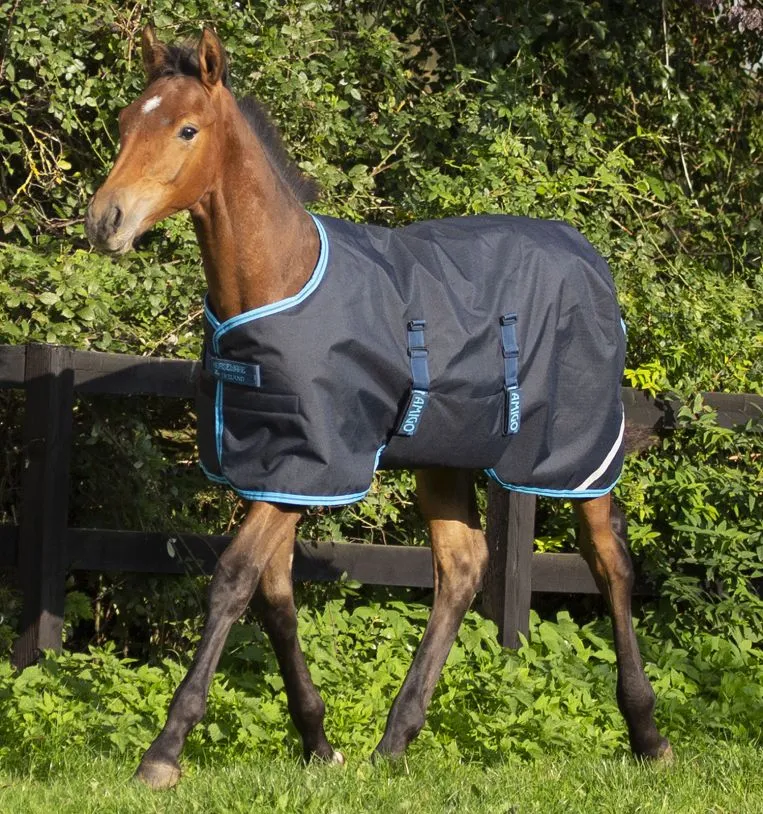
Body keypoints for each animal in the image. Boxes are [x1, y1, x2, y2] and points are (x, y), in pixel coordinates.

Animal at [85, 25, 672, 789]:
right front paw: (318, 741)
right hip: (444, 457)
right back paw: (395, 740)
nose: (105, 221)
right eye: (128, 122)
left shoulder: (314, 464)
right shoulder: (275, 467)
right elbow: (274, 593)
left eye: (187, 129)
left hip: (577, 453)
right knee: (461, 567)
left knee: (609, 563)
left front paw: (163, 753)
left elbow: (233, 580)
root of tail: (588, 258)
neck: (280, 278)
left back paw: (648, 735)